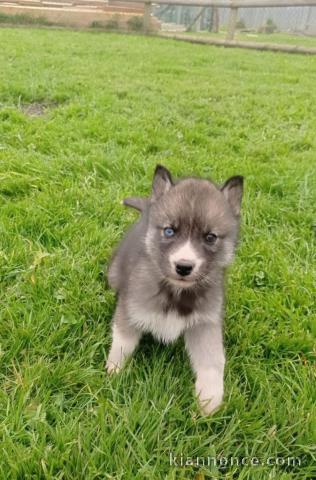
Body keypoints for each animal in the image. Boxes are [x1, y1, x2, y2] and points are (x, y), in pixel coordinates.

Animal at [106, 164, 244, 412]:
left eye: (210, 237)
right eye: (170, 231)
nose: (184, 267)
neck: (175, 292)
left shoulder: (206, 323)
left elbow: (213, 359)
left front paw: (210, 399)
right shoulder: (130, 310)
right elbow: (122, 342)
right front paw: (115, 370)